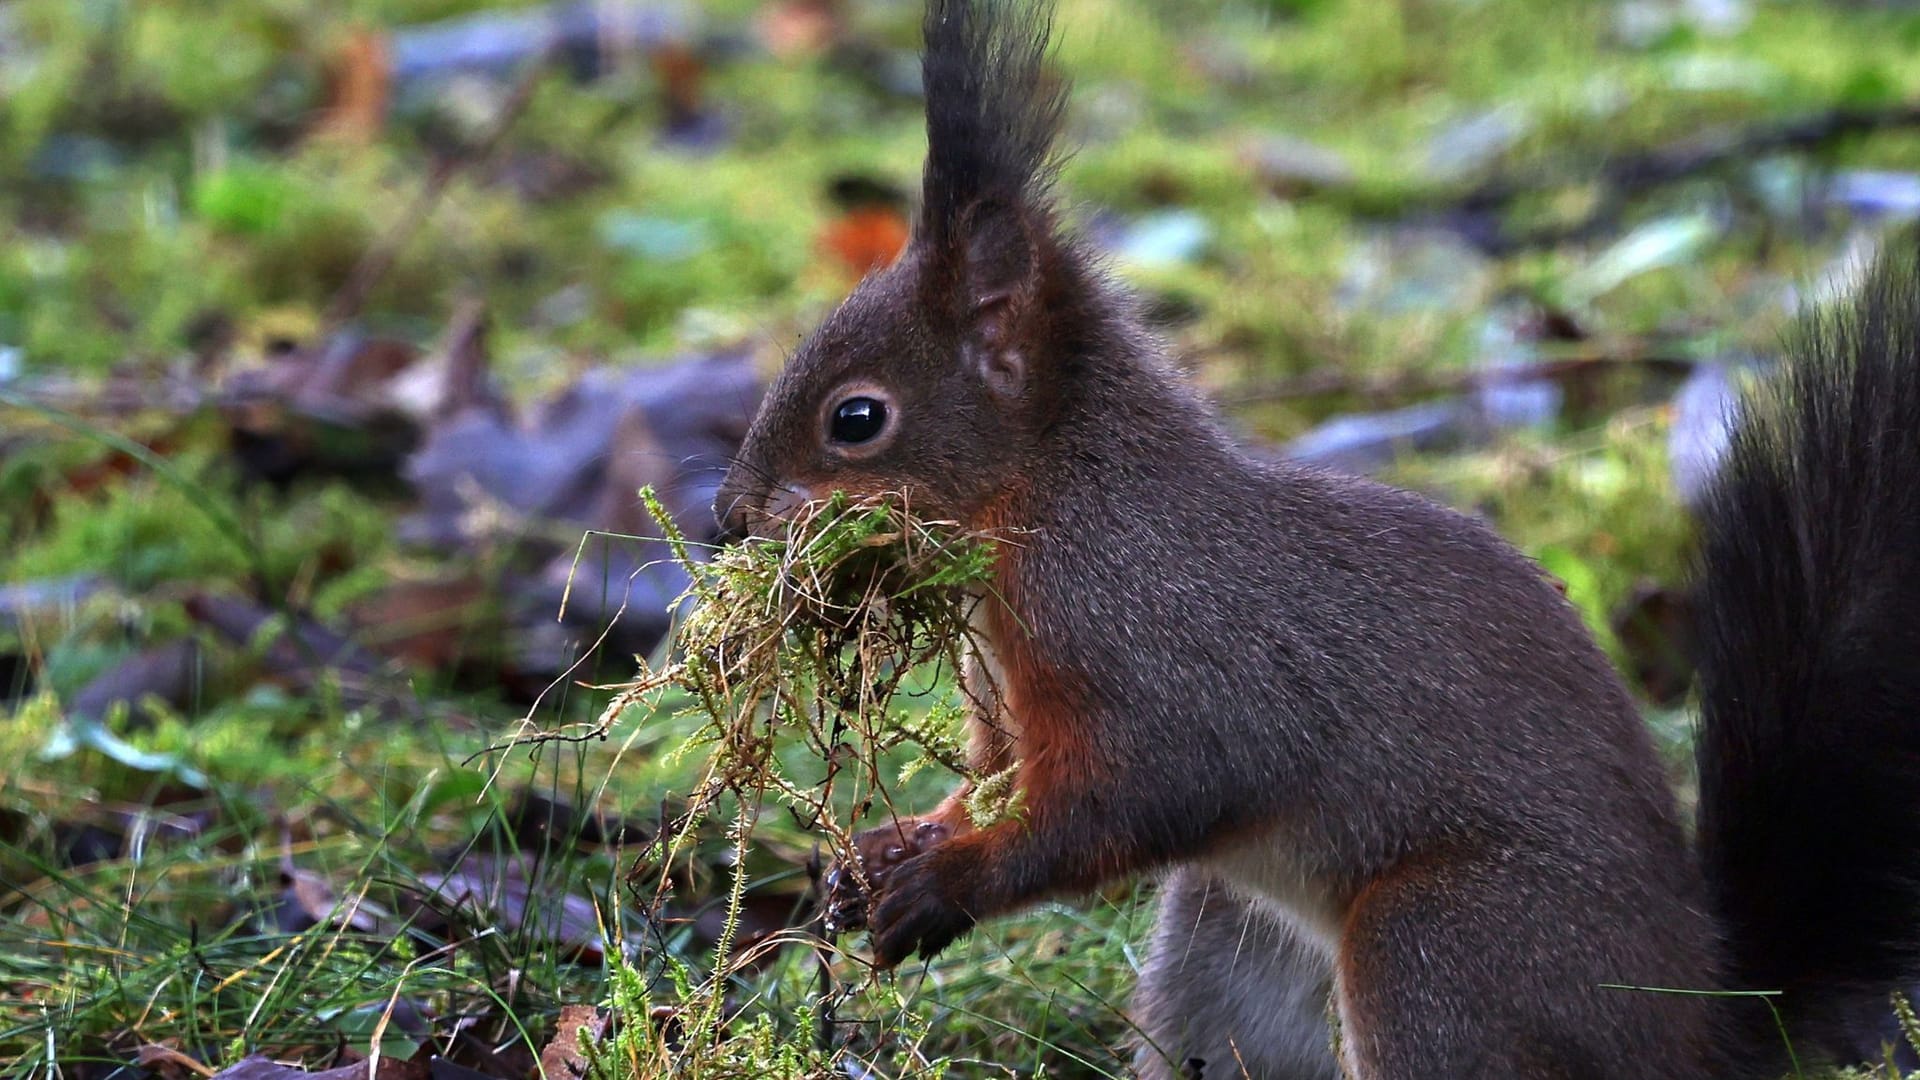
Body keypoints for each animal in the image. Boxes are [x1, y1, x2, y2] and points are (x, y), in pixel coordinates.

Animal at [714, 0, 1920, 1068]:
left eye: (856, 419)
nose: (732, 515)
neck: (1052, 502)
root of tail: (1702, 1022)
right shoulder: (1006, 698)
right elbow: (995, 781)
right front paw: (879, 854)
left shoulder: (1157, 649)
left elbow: (1138, 793)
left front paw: (942, 887)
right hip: (1223, 936)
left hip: (1441, 951)